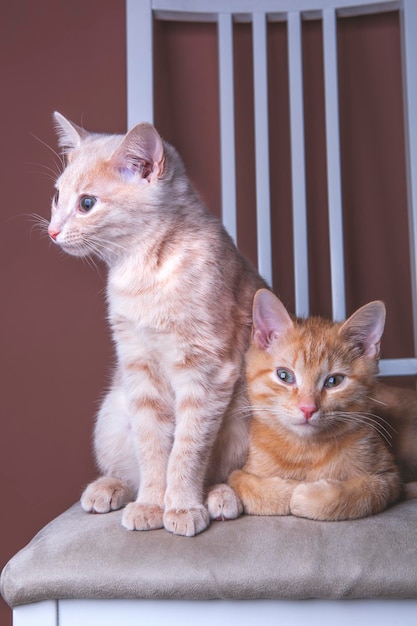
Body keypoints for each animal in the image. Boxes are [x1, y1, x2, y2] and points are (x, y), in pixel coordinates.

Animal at [48, 112, 264, 536]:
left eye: (86, 203)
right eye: (56, 197)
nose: (52, 230)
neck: (143, 269)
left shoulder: (206, 370)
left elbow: (187, 448)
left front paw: (180, 506)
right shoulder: (138, 369)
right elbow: (152, 447)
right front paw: (151, 503)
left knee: (224, 473)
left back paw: (218, 497)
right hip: (112, 415)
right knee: (125, 469)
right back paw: (108, 487)